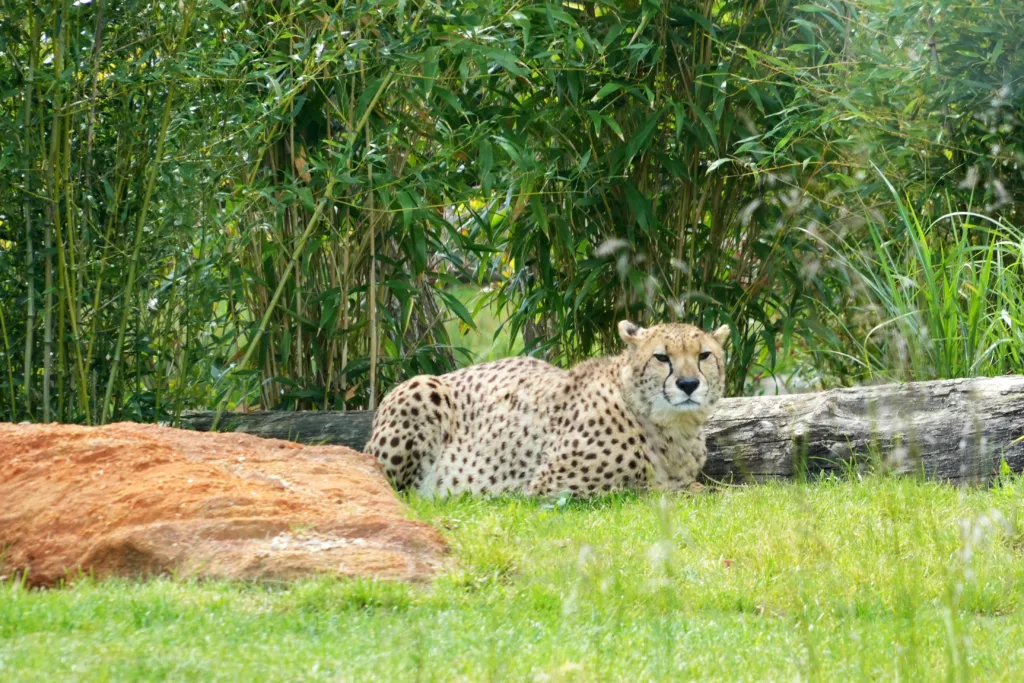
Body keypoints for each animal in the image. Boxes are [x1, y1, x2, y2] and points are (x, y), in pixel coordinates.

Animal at [364, 321, 733, 497]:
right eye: (661, 357)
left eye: (704, 355)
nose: (688, 384)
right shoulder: (552, 485)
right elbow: (651, 487)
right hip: (423, 386)